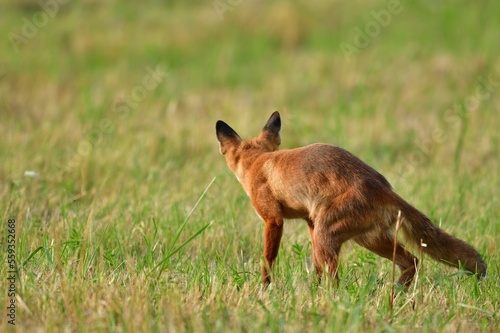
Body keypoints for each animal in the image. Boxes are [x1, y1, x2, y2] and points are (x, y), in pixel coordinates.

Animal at [214, 111, 484, 286]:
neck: (259, 161)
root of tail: (384, 187)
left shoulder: (274, 220)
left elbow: (268, 259)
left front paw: (265, 288)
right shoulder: (310, 221)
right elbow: (316, 267)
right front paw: (312, 290)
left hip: (330, 233)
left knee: (338, 277)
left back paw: (335, 298)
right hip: (366, 239)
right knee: (413, 261)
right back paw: (395, 291)